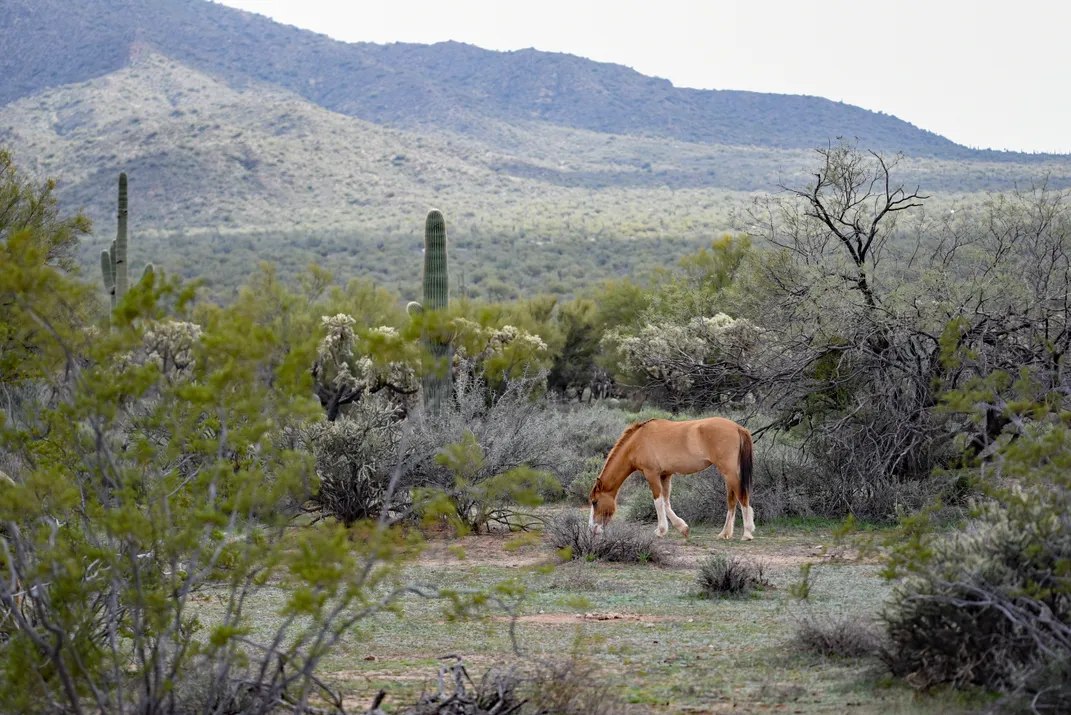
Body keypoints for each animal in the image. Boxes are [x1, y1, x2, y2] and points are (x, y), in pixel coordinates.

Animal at [586, 415, 753, 539]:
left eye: (595, 502)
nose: (592, 529)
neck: (637, 441)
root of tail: (738, 427)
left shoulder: (652, 474)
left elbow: (658, 502)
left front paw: (660, 531)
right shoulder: (665, 475)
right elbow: (666, 503)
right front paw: (683, 528)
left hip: (729, 472)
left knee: (742, 496)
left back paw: (747, 533)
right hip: (728, 475)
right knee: (732, 501)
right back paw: (724, 534)